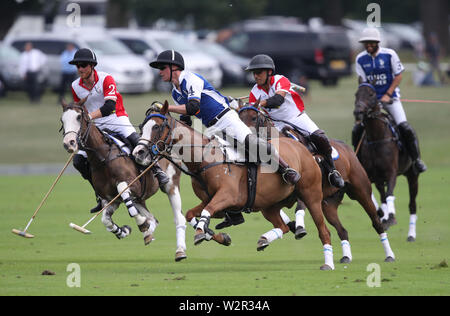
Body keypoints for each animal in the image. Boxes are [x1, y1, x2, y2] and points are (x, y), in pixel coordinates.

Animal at [59, 99, 186, 262]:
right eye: (62, 120)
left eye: (79, 117)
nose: (69, 143)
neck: (103, 158)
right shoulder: (111, 199)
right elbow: (106, 220)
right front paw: (124, 231)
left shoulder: (133, 185)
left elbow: (123, 191)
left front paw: (140, 224)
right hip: (140, 199)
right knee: (153, 219)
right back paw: (148, 232)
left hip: (171, 185)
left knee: (177, 216)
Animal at [132, 101, 336, 270]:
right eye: (142, 127)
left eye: (157, 126)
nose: (138, 152)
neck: (204, 160)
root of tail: (303, 148)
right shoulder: (215, 203)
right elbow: (192, 214)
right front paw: (217, 236)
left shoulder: (227, 197)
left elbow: (206, 212)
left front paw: (200, 234)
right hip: (268, 206)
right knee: (283, 226)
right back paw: (264, 239)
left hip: (311, 196)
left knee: (324, 231)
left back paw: (328, 264)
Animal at [237, 105, 396, 262]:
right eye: (239, 117)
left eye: (253, 117)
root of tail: (348, 149)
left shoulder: (305, 189)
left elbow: (299, 208)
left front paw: (299, 228)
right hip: (329, 204)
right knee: (342, 230)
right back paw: (346, 257)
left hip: (361, 191)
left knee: (376, 222)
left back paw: (389, 255)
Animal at [354, 82, 420, 241]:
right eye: (356, 94)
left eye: (371, 94)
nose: (358, 111)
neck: (376, 138)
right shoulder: (369, 175)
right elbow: (375, 196)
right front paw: (383, 215)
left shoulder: (391, 173)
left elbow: (390, 193)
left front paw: (391, 217)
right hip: (379, 179)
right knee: (382, 195)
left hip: (412, 176)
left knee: (412, 205)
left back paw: (411, 234)